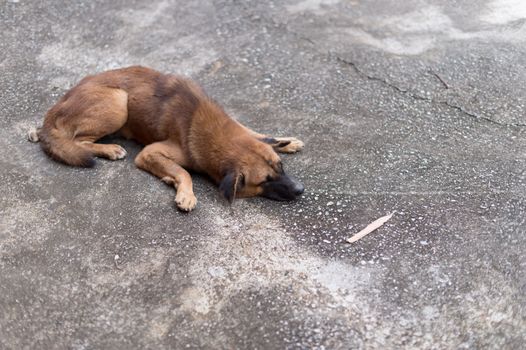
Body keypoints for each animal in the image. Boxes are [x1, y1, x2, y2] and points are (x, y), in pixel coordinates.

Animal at [28, 65, 308, 211]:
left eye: (280, 167)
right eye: (265, 180)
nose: (300, 190)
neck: (208, 126)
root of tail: (54, 109)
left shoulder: (239, 128)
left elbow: (261, 135)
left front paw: (286, 141)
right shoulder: (149, 153)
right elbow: (183, 172)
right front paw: (185, 193)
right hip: (118, 102)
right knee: (80, 141)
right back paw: (109, 149)